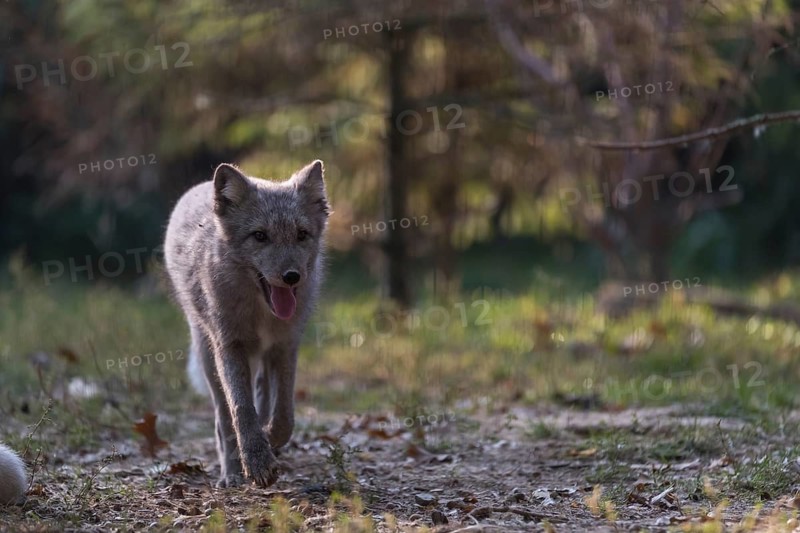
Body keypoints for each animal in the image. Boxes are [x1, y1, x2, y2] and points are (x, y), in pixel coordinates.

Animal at [164, 161, 329, 488]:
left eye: (302, 234)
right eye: (260, 236)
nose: (292, 276)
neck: (262, 314)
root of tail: (202, 186)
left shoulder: (285, 346)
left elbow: (284, 413)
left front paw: (271, 440)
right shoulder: (230, 346)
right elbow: (241, 410)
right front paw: (256, 462)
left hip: (261, 359)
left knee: (263, 396)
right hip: (208, 357)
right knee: (223, 417)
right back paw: (231, 472)